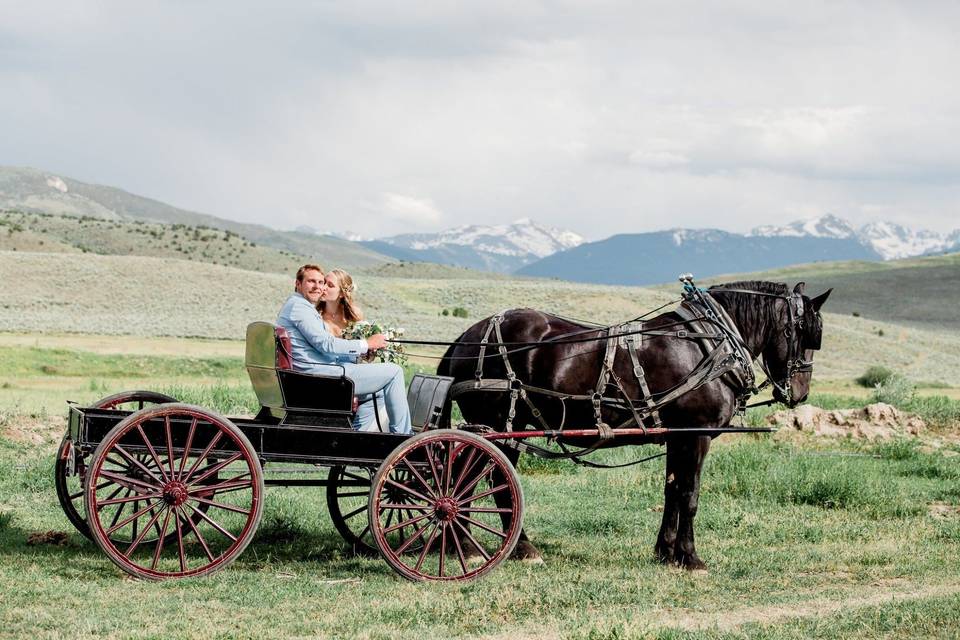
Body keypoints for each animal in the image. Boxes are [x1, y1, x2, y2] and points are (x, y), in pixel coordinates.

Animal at [438, 280, 828, 568]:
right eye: (803, 333)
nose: (800, 392)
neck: (708, 343)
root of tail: (465, 337)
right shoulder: (697, 433)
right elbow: (690, 495)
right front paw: (691, 558)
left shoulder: (677, 435)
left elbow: (672, 491)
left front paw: (666, 552)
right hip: (494, 425)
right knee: (479, 482)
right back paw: (493, 546)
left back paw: (477, 544)